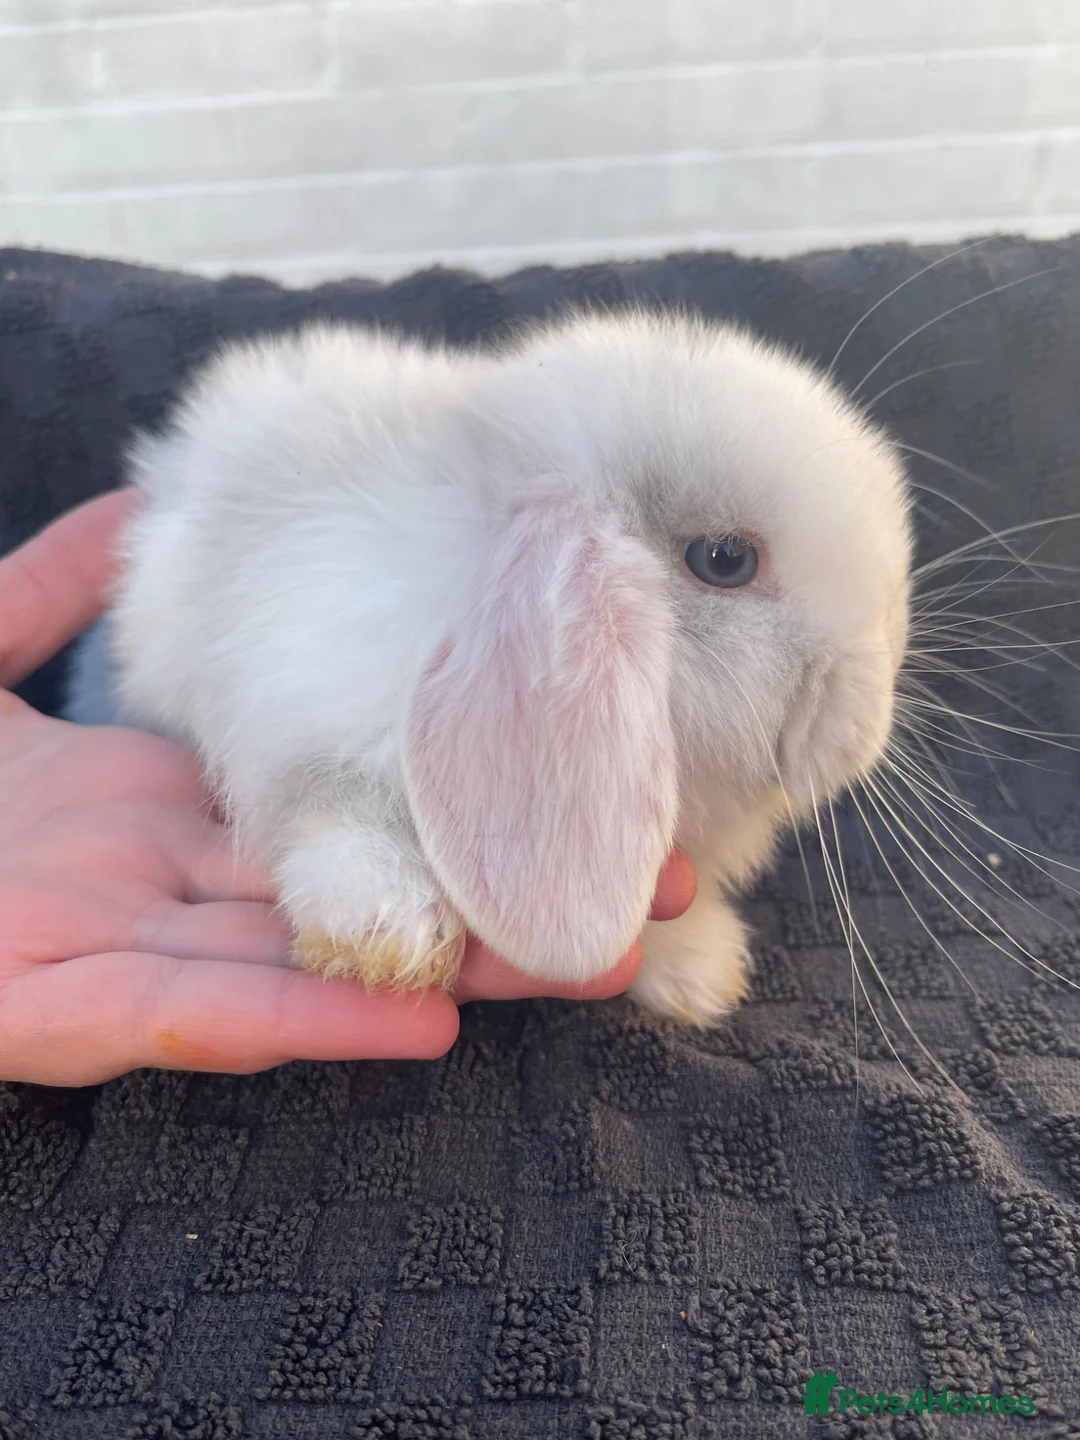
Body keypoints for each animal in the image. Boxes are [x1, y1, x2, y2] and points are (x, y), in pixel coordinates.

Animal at [65, 310, 912, 1026]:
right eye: (726, 559)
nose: (868, 712)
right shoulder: (301, 713)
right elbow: (328, 811)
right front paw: (389, 937)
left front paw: (699, 975)